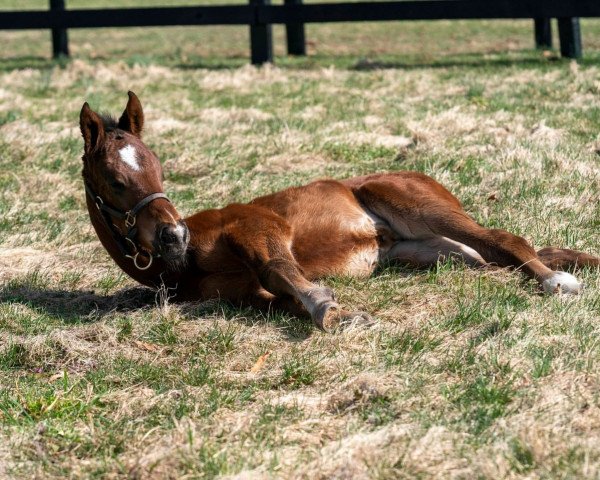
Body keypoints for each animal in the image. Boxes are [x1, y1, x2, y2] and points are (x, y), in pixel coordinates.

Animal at [79, 91, 600, 330]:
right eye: (117, 181)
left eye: (158, 168)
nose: (175, 235)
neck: (183, 267)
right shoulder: (244, 296)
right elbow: (278, 294)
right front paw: (330, 308)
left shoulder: (257, 225)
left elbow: (277, 268)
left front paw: (331, 309)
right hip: (429, 251)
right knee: (496, 254)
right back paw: (579, 263)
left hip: (416, 207)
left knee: (503, 240)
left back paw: (559, 282)